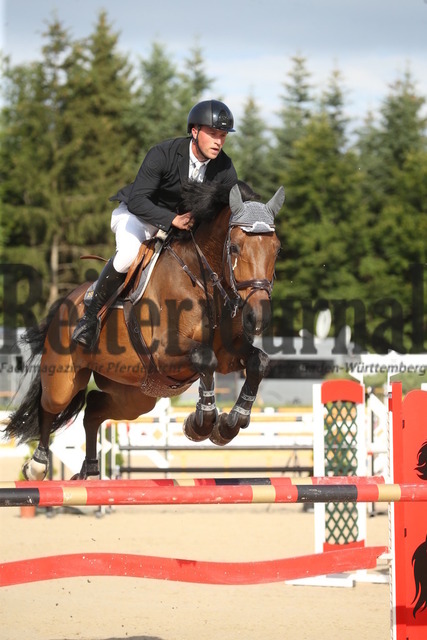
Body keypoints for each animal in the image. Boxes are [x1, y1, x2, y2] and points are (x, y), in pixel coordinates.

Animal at [3, 180, 286, 480]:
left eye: (277, 249)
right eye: (234, 247)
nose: (259, 317)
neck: (203, 281)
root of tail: (67, 301)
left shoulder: (227, 355)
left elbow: (257, 361)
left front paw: (229, 424)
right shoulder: (164, 352)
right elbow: (204, 357)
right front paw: (200, 423)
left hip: (134, 395)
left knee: (93, 409)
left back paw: (90, 470)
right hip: (64, 379)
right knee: (49, 407)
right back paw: (37, 464)